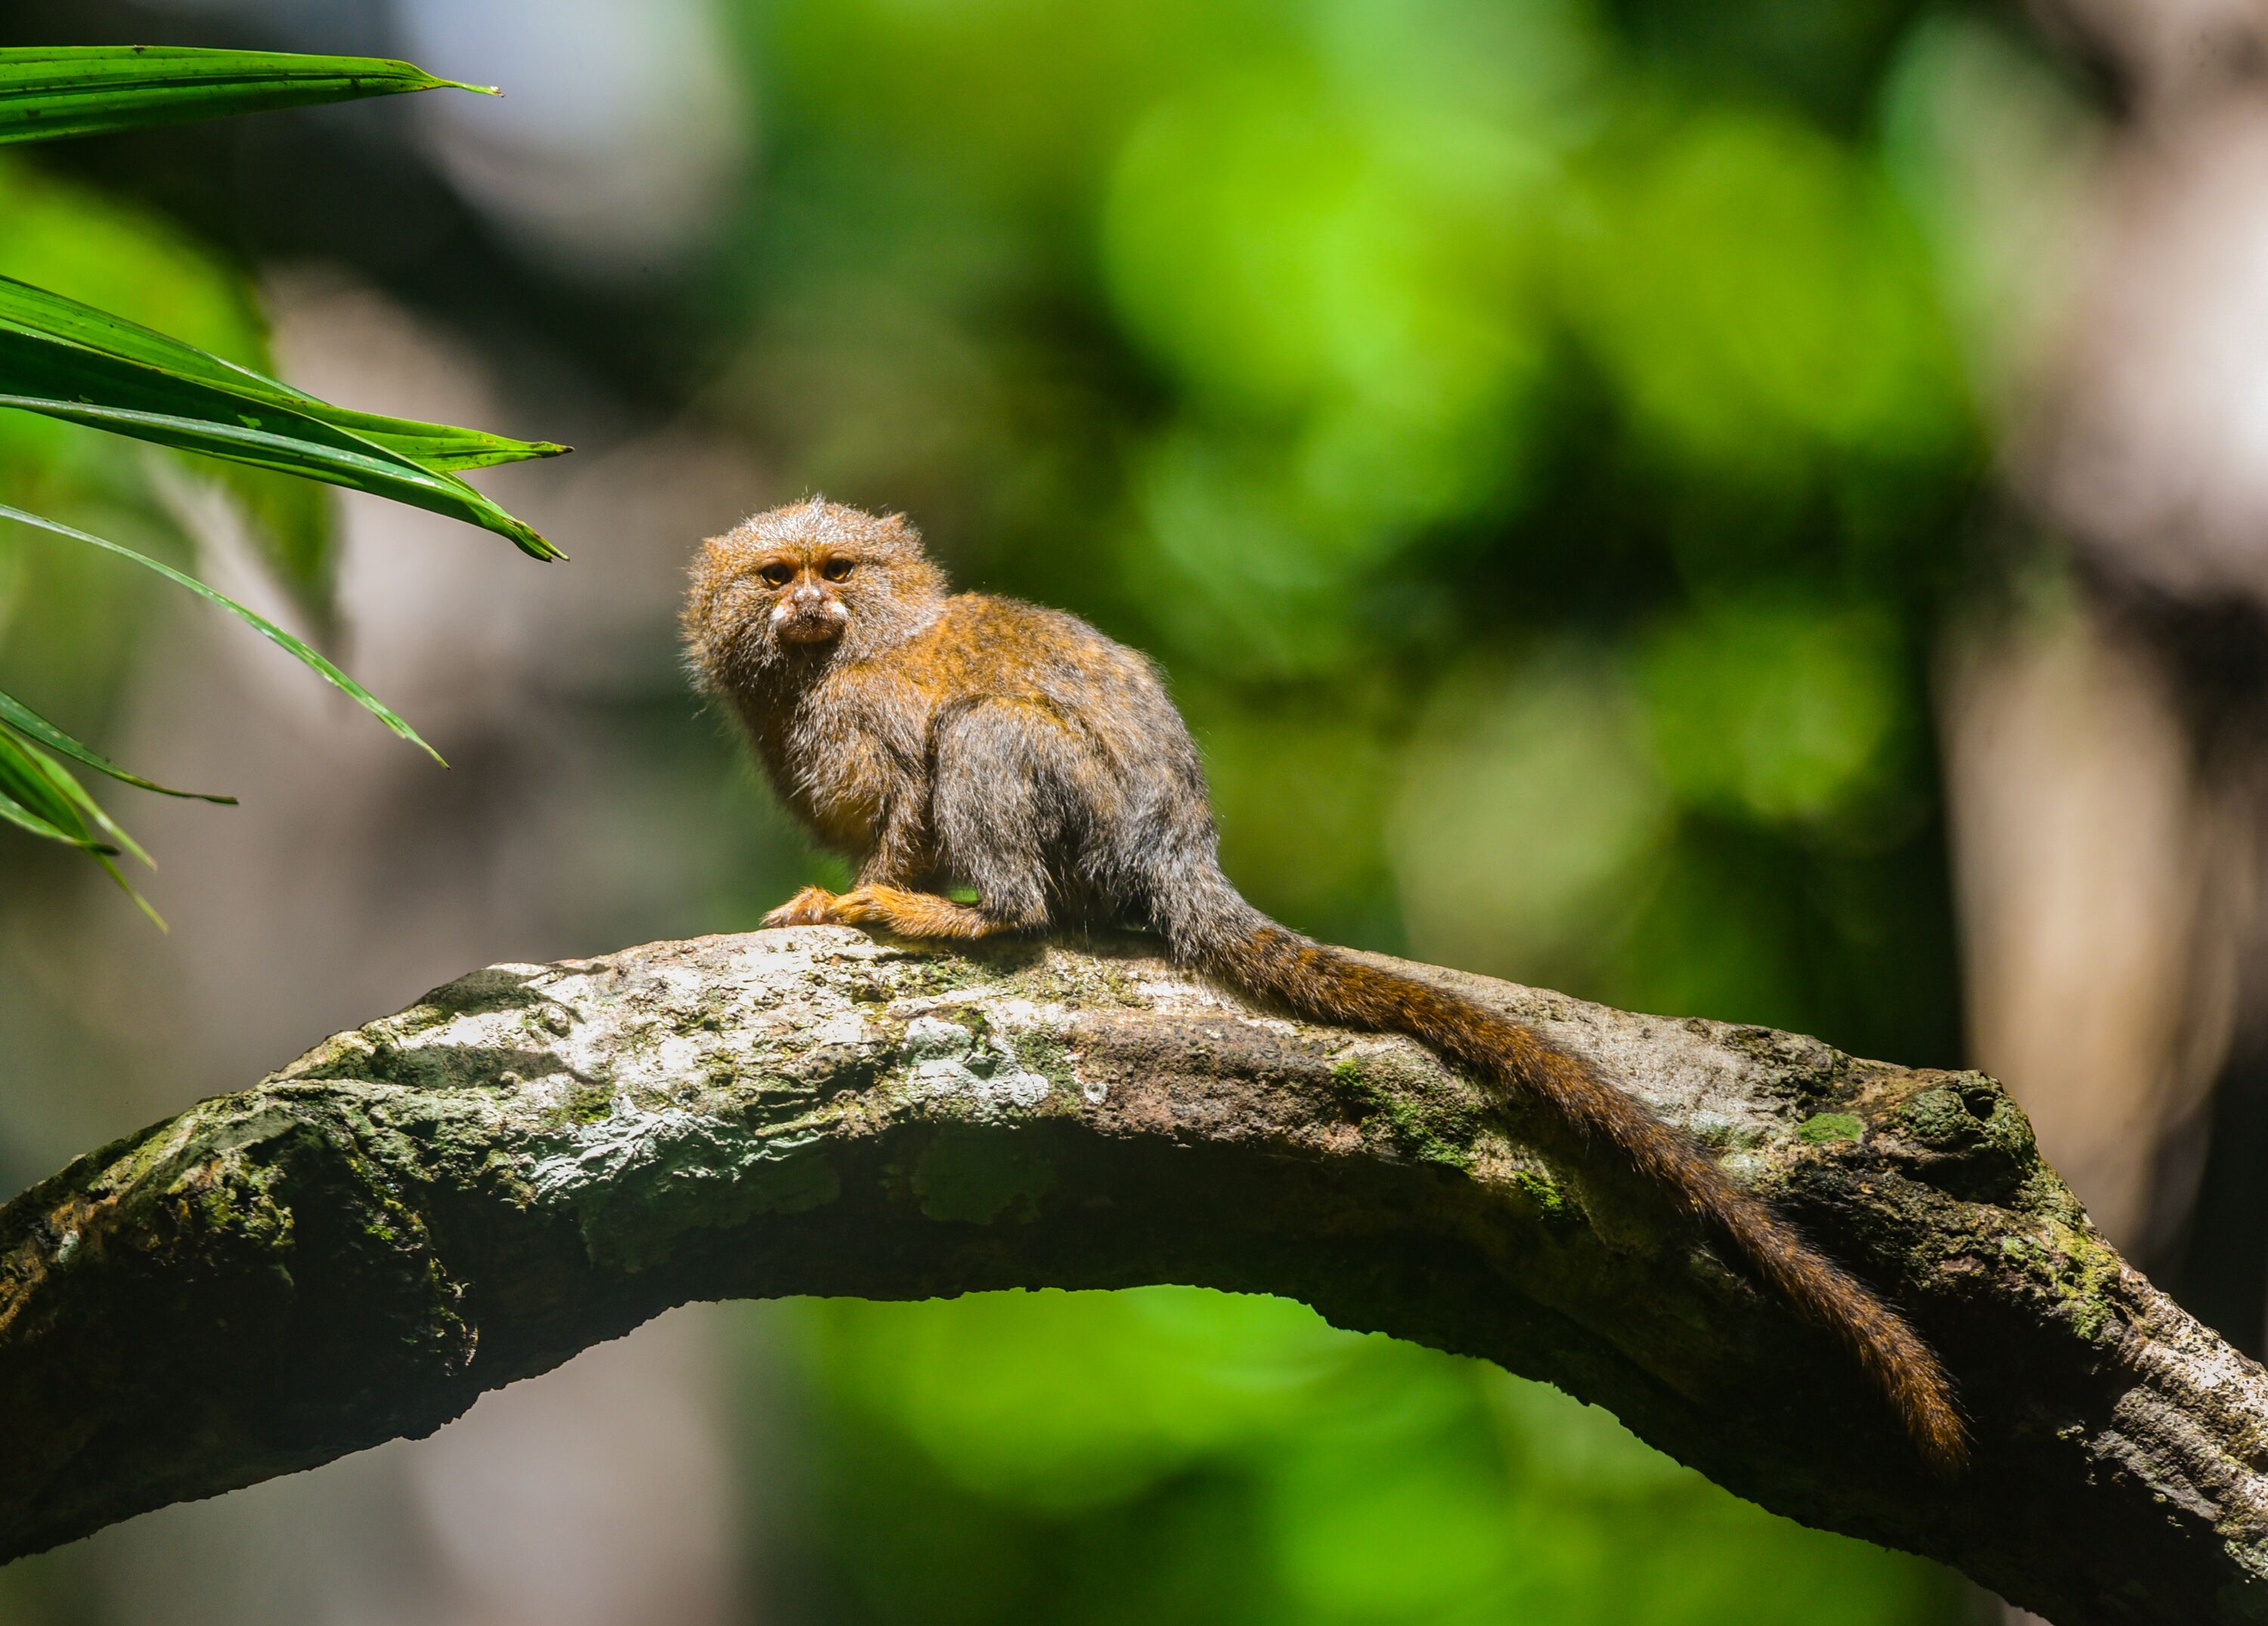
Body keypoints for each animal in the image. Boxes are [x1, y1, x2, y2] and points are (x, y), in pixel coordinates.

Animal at [682, 497, 1966, 1474]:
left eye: (837, 571)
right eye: (776, 576)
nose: (808, 605)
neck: (828, 667)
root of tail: (1176, 845)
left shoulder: (878, 717)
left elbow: (909, 791)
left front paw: (873, 894)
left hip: (1067, 796)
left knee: (995, 765)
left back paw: (973, 911)